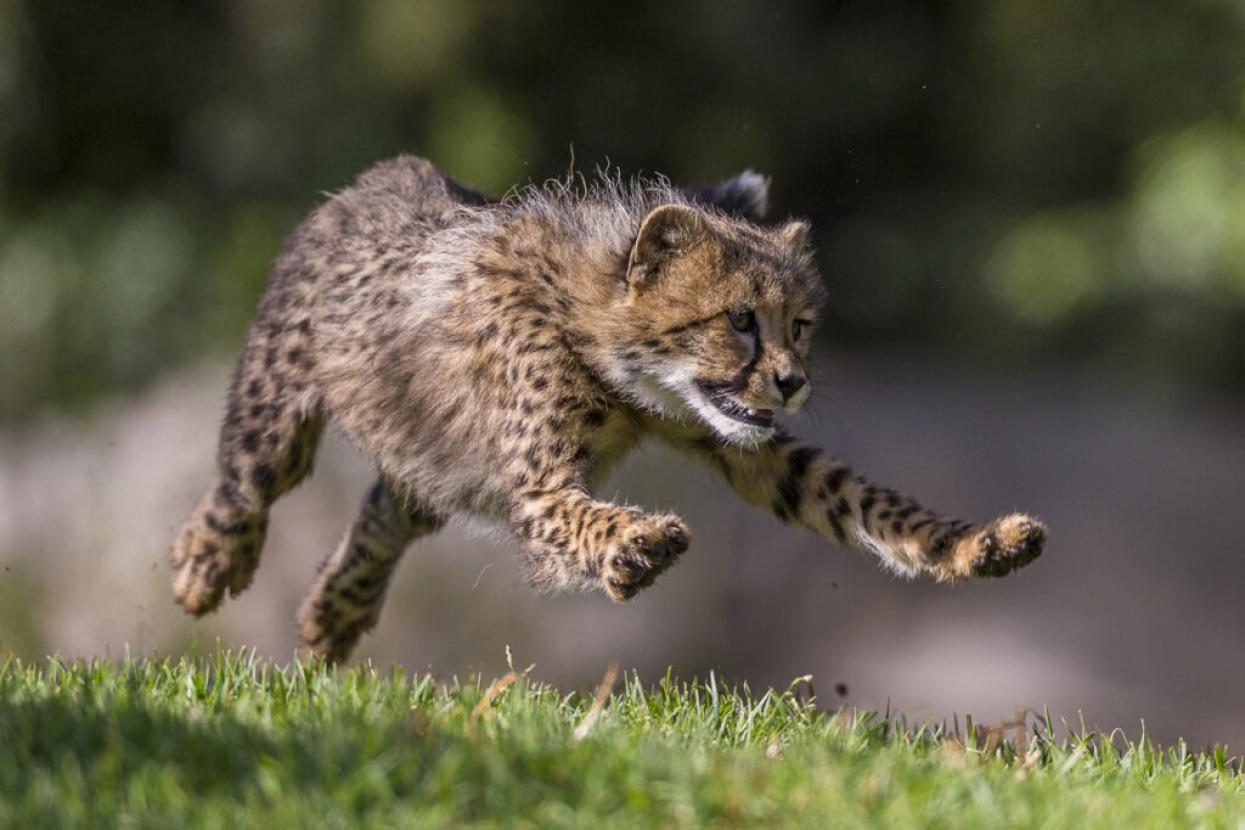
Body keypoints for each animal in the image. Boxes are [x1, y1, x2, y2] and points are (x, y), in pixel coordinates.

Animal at [170, 155, 1045, 663]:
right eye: (740, 320)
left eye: (799, 325)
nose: (792, 382)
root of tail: (386, 172)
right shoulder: (537, 488)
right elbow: (576, 516)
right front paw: (636, 543)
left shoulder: (734, 436)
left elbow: (859, 499)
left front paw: (978, 544)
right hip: (281, 399)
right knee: (246, 482)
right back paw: (207, 565)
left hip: (433, 457)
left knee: (387, 511)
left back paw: (332, 617)